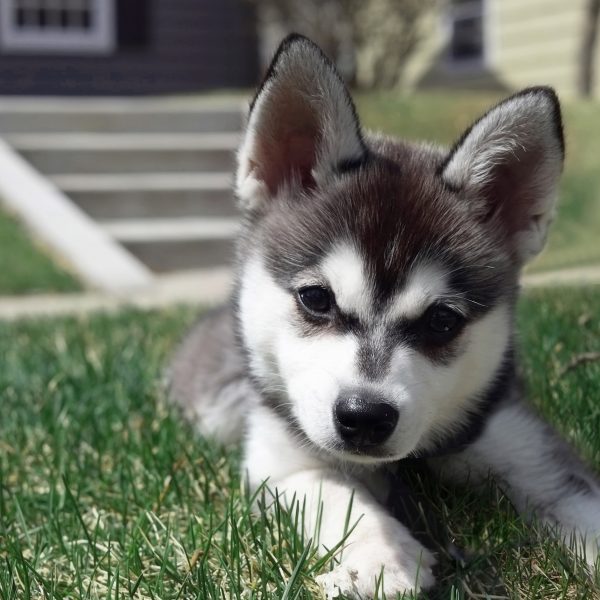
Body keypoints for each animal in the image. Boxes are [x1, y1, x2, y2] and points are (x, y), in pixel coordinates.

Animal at [169, 35, 600, 596]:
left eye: (442, 321)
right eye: (316, 299)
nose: (365, 417)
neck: (410, 465)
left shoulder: (531, 449)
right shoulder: (281, 462)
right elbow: (338, 496)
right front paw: (380, 558)